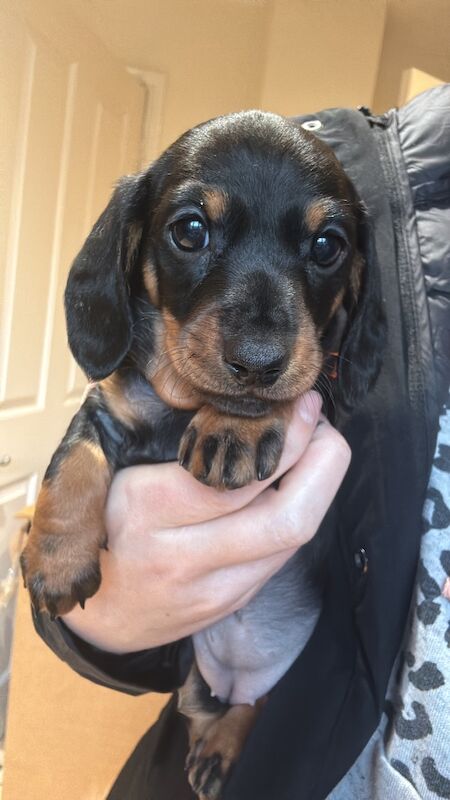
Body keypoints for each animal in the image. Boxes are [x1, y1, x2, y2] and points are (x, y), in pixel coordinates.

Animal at [21, 111, 384, 800]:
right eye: (190, 230)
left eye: (328, 245)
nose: (259, 361)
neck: (181, 405)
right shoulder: (107, 409)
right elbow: (72, 463)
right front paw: (53, 557)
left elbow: (284, 393)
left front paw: (236, 424)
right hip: (192, 674)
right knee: (204, 707)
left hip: (282, 681)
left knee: (254, 706)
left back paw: (224, 749)